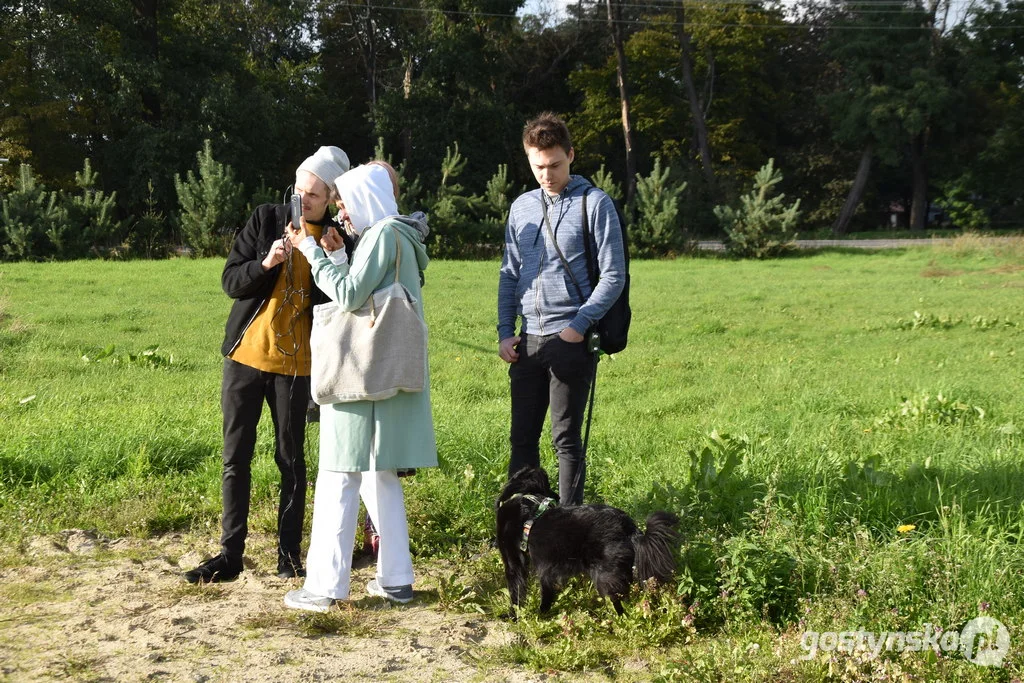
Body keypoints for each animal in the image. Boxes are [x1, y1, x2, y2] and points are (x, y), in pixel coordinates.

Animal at [495, 466, 679, 618]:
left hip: (605, 576)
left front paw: (513, 616)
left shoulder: (514, 562)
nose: (557, 496)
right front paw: (542, 613)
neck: (525, 498)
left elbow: (516, 591)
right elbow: (546, 591)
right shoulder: (546, 569)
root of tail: (630, 527)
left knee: (618, 606)